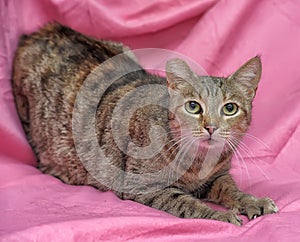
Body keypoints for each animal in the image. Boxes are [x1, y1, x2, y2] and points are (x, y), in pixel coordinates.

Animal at [12, 22, 278, 225]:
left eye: (230, 108)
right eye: (193, 106)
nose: (210, 127)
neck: (198, 160)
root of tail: (44, 30)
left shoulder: (218, 177)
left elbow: (233, 190)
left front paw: (253, 200)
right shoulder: (144, 186)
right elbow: (188, 203)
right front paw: (218, 215)